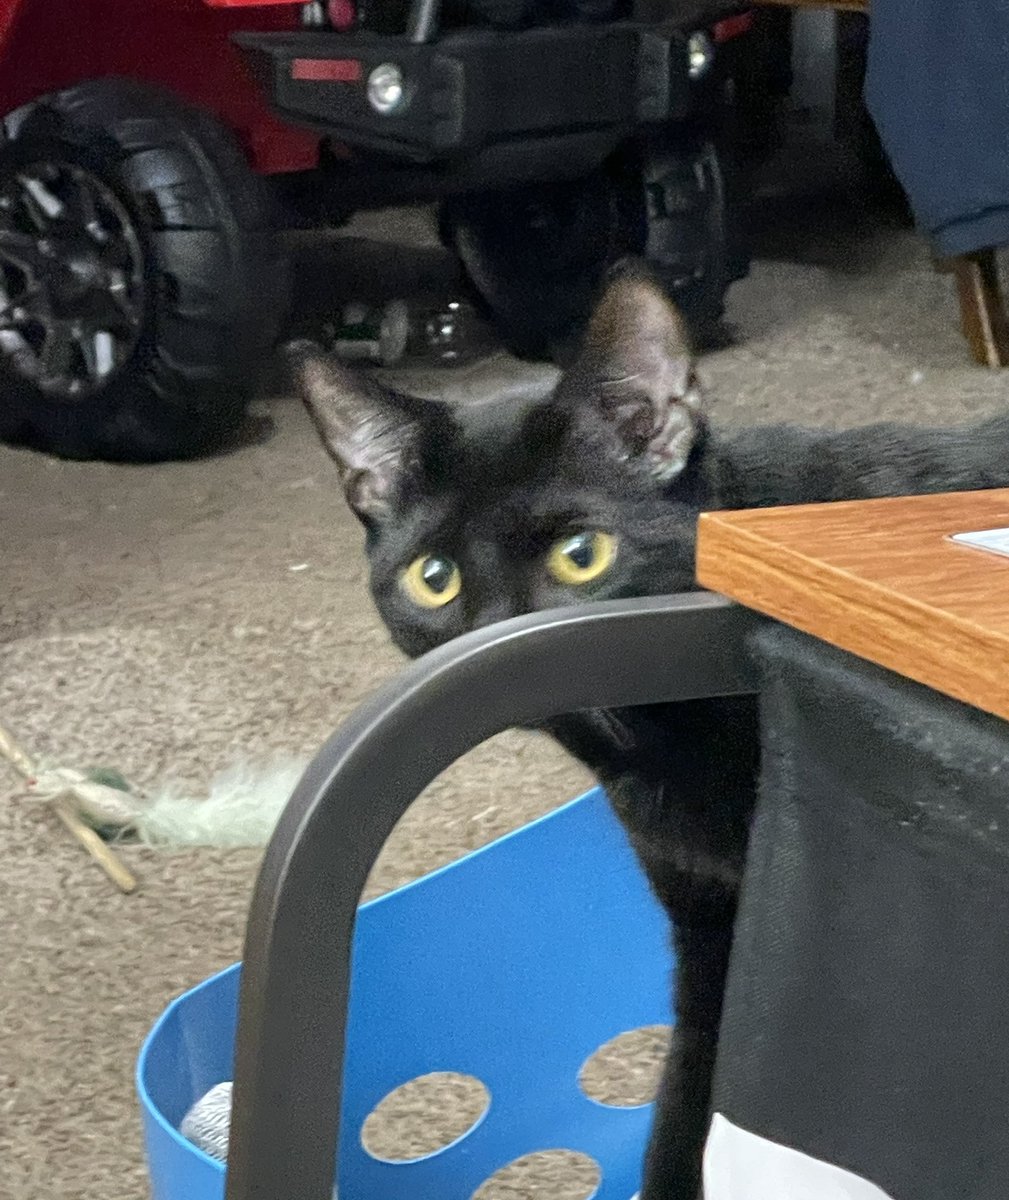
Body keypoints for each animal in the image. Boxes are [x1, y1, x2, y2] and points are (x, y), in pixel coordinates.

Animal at [285, 265, 1007, 1200]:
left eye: (581, 556)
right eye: (433, 578)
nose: (502, 636)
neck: (657, 745)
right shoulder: (708, 927)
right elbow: (687, 1100)